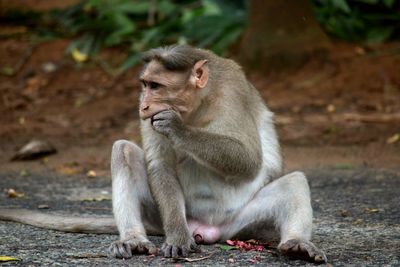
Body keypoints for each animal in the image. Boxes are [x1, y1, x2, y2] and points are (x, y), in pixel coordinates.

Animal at [0, 45, 324, 264]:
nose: (144, 105)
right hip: (164, 213)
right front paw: (177, 237)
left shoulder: (233, 95)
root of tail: (206, 229)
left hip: (242, 225)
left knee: (295, 181)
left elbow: (249, 161)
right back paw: (134, 240)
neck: (199, 103)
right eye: (145, 85)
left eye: (156, 85)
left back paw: (296, 244)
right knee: (123, 151)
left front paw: (177, 128)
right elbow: (160, 167)